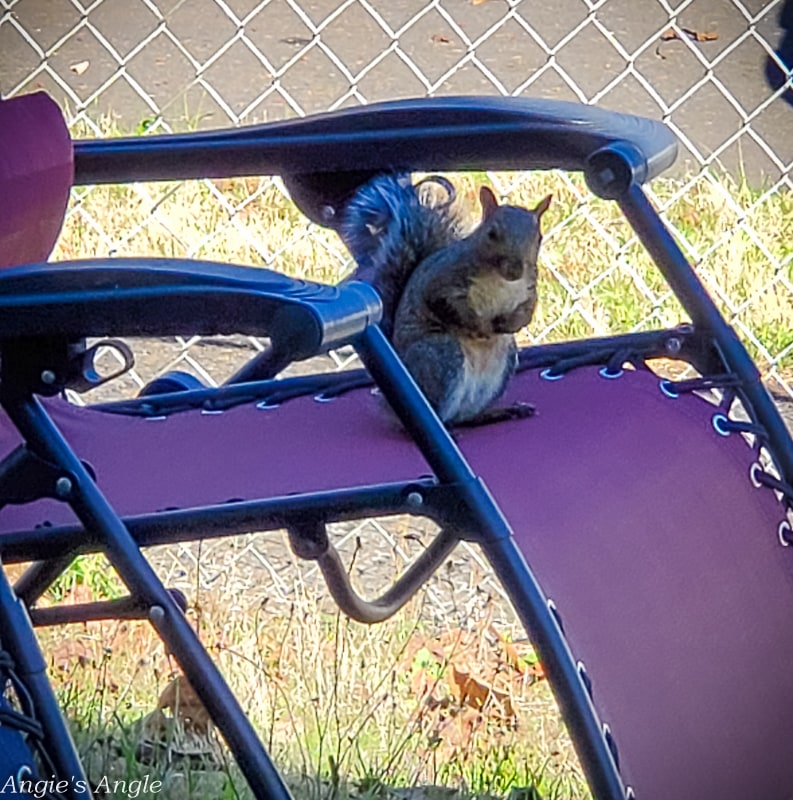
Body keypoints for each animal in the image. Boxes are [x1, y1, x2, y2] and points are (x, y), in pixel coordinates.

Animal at [340, 173, 552, 428]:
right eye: (492, 234)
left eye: (538, 237)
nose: (514, 271)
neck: (501, 281)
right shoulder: (443, 281)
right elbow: (449, 306)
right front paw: (481, 327)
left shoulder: (528, 291)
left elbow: (527, 311)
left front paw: (510, 324)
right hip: (443, 356)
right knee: (442, 413)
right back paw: (446, 425)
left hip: (503, 366)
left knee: (466, 417)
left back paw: (497, 413)